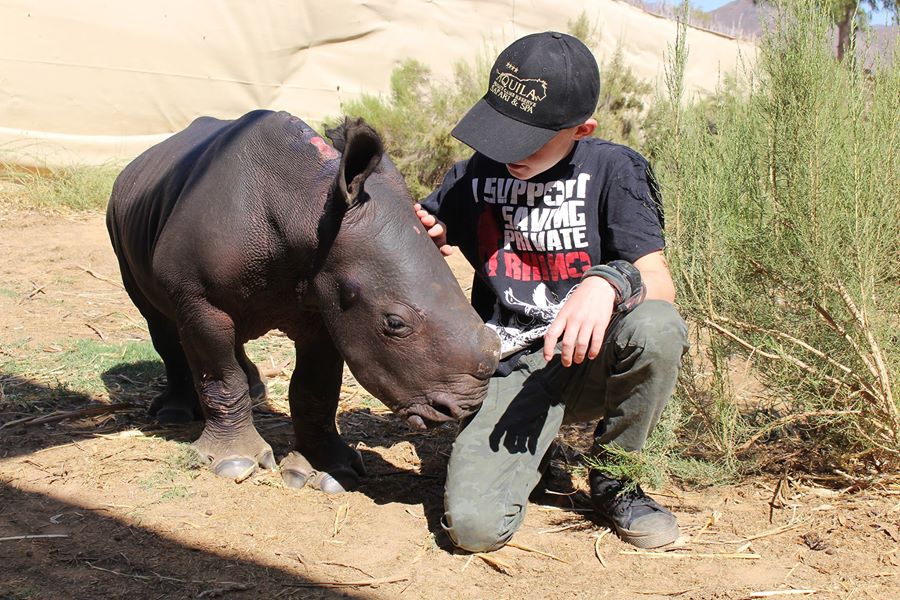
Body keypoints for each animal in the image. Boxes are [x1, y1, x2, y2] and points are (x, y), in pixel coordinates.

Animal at [106, 110, 500, 492]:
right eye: (394, 324)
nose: (465, 407)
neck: (305, 210)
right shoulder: (200, 296)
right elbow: (220, 374)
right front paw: (235, 463)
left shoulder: (327, 303)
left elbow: (316, 389)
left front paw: (328, 473)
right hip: (119, 219)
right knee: (159, 321)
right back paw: (173, 414)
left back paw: (256, 392)